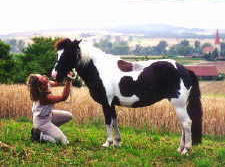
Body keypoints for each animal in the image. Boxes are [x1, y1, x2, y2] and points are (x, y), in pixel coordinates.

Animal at [51, 38, 202, 155]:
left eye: (67, 54)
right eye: (58, 54)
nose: (54, 75)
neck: (99, 69)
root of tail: (185, 70)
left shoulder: (106, 103)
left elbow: (108, 122)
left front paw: (107, 143)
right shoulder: (112, 104)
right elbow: (115, 121)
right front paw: (117, 143)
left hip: (179, 105)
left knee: (186, 123)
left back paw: (186, 150)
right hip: (180, 105)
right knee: (183, 126)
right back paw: (180, 148)